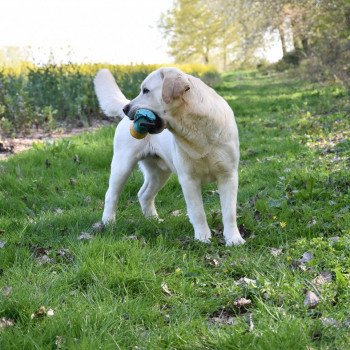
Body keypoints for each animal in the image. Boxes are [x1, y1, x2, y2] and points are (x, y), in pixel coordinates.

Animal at [94, 67, 245, 245]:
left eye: (146, 91)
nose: (125, 108)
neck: (197, 130)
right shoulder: (188, 179)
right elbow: (198, 212)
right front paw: (203, 238)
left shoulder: (228, 176)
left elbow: (229, 212)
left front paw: (234, 239)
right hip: (122, 165)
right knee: (111, 195)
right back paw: (108, 223)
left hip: (159, 173)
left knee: (144, 195)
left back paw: (153, 220)